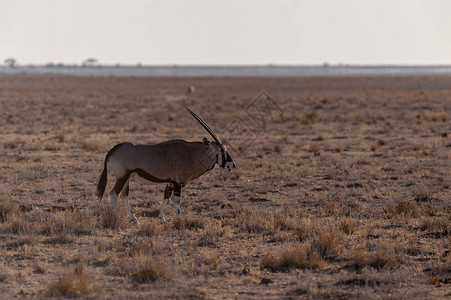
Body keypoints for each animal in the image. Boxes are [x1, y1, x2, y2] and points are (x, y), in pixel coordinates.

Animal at [96, 107, 237, 223]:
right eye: (222, 150)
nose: (233, 164)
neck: (191, 153)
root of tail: (113, 150)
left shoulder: (170, 182)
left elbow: (166, 198)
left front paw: (162, 219)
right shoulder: (178, 182)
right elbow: (177, 200)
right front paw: (179, 219)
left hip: (127, 179)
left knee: (124, 196)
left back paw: (135, 219)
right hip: (122, 177)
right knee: (114, 194)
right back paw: (116, 217)